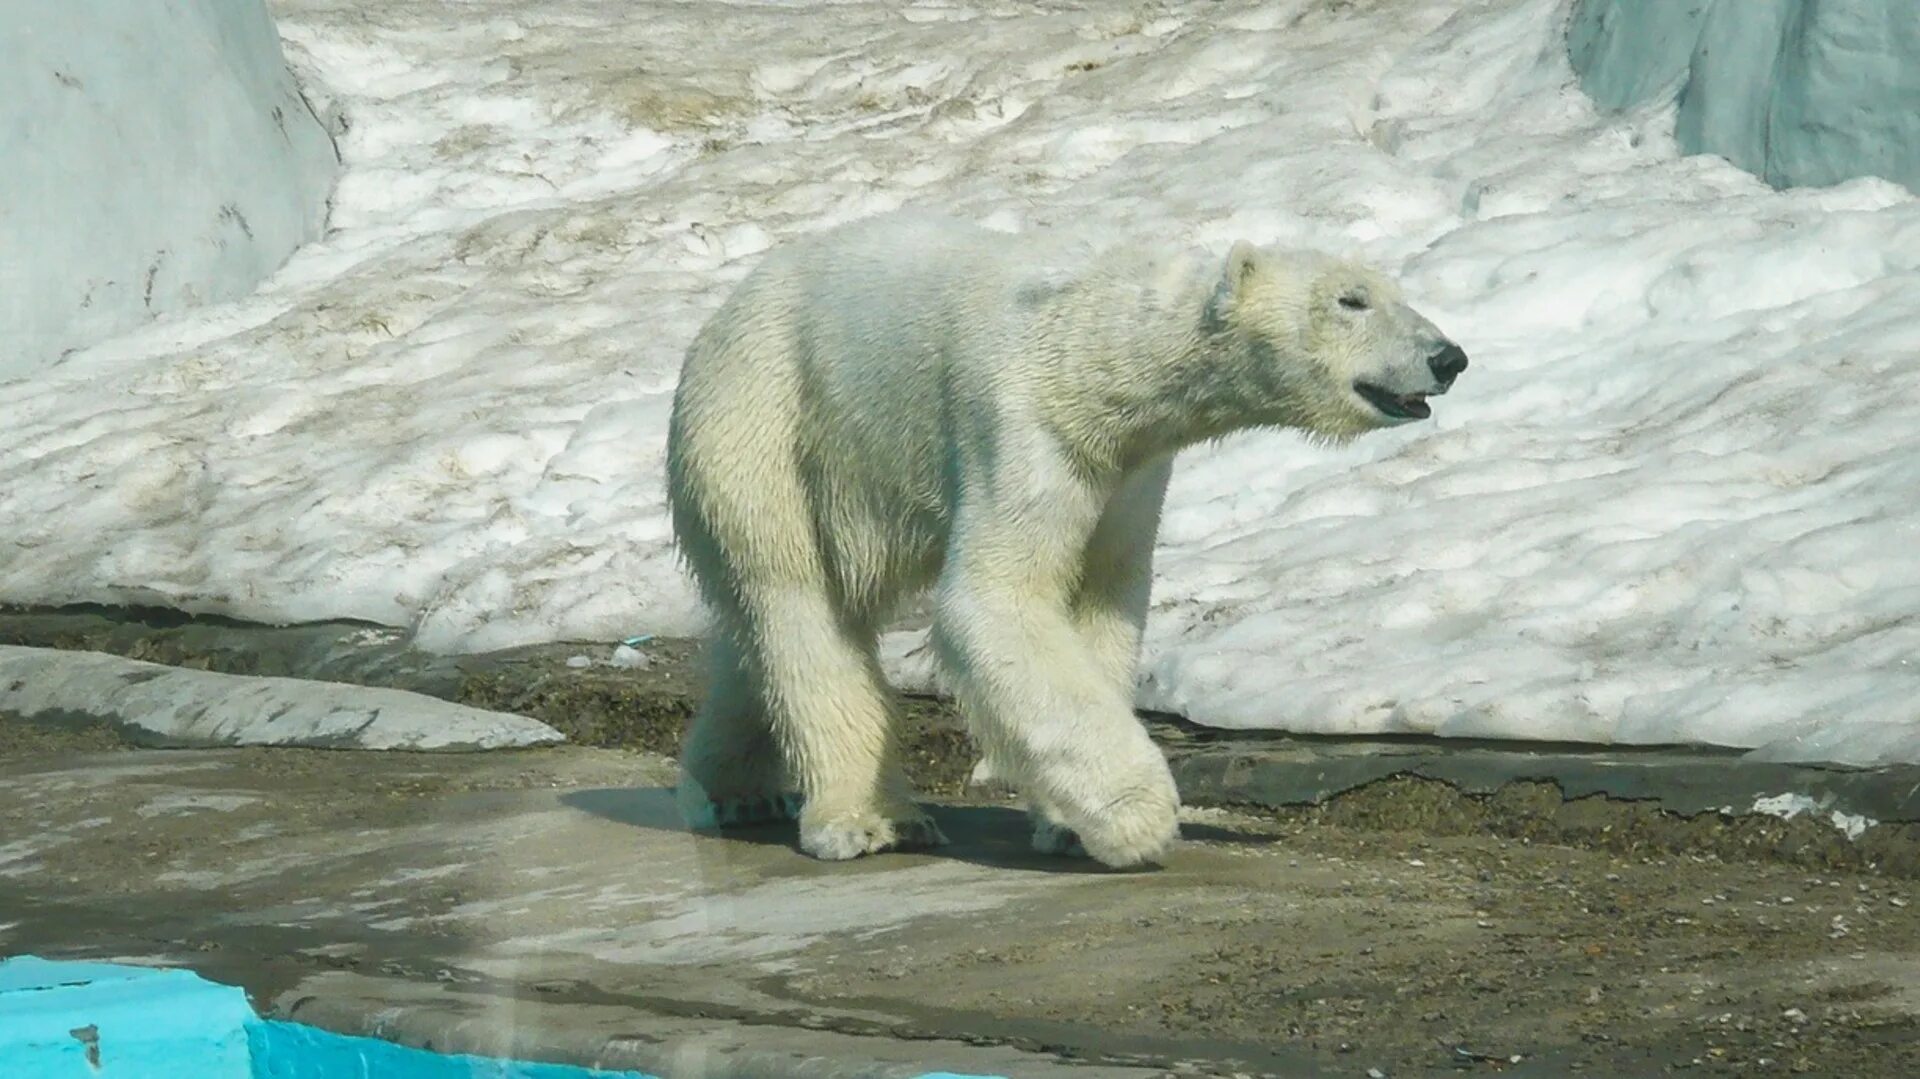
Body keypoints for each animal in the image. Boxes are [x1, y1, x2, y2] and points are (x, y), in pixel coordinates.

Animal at [664, 212, 1466, 863]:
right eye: (1350, 301)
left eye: (1393, 291)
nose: (1449, 357)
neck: (1092, 345)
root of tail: (718, 318)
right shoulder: (1021, 427)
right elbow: (998, 598)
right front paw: (1137, 817)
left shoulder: (1127, 470)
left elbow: (1100, 599)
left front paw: (1067, 824)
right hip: (765, 419)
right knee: (799, 602)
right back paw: (867, 818)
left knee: (756, 632)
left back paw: (734, 786)